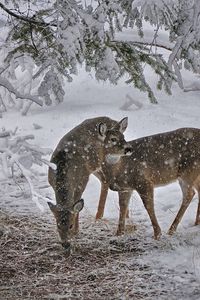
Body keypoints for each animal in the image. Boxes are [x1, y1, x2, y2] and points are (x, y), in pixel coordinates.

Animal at [47, 115, 133, 253]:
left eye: (70, 225)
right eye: (58, 225)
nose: (65, 244)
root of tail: (114, 121)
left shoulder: (82, 180)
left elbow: (77, 205)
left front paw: (76, 231)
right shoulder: (52, 183)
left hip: (107, 161)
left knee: (109, 180)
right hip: (96, 167)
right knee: (104, 181)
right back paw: (104, 216)